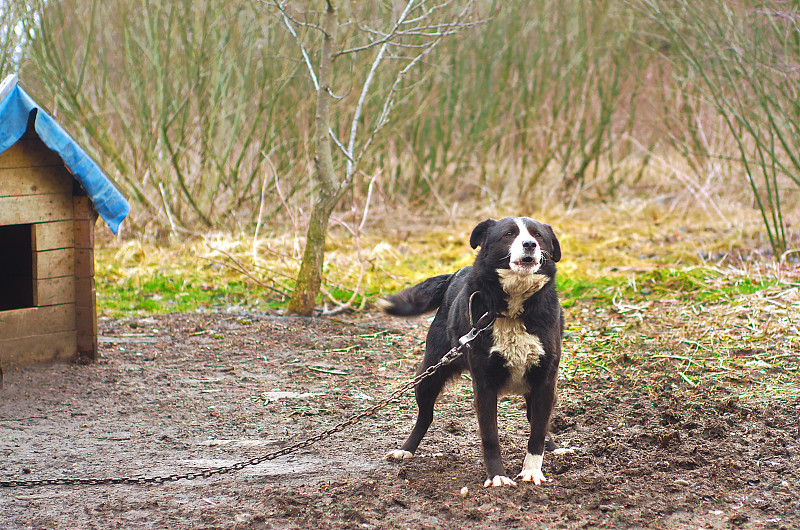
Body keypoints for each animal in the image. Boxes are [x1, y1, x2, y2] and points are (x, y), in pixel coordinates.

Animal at [380, 216, 564, 486]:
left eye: (538, 235)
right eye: (509, 234)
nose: (530, 245)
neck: (511, 310)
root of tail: (454, 275)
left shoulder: (545, 380)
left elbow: (538, 431)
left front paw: (532, 472)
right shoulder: (484, 384)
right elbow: (490, 436)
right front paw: (497, 477)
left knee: (538, 420)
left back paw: (554, 447)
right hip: (428, 374)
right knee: (425, 416)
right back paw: (406, 449)